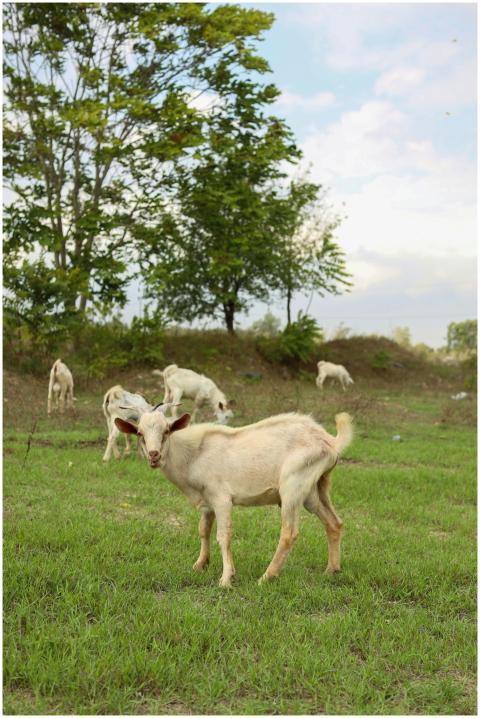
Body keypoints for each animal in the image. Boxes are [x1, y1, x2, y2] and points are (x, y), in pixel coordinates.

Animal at [115, 407, 353, 587]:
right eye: (140, 434)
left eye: (166, 431)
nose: (154, 455)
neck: (193, 455)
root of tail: (330, 441)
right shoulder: (207, 502)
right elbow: (203, 531)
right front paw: (200, 564)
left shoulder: (221, 498)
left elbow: (223, 535)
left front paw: (226, 578)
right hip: (315, 489)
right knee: (334, 522)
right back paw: (332, 570)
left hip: (293, 486)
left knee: (289, 533)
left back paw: (266, 576)